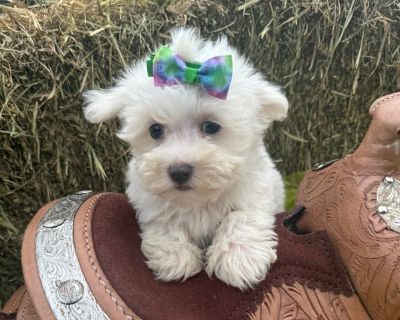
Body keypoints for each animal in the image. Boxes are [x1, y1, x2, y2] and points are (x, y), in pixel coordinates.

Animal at [83, 27, 288, 288]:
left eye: (211, 126)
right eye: (155, 130)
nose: (179, 171)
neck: (198, 201)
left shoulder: (256, 190)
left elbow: (241, 216)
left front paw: (240, 257)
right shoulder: (149, 201)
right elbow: (164, 222)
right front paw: (175, 258)